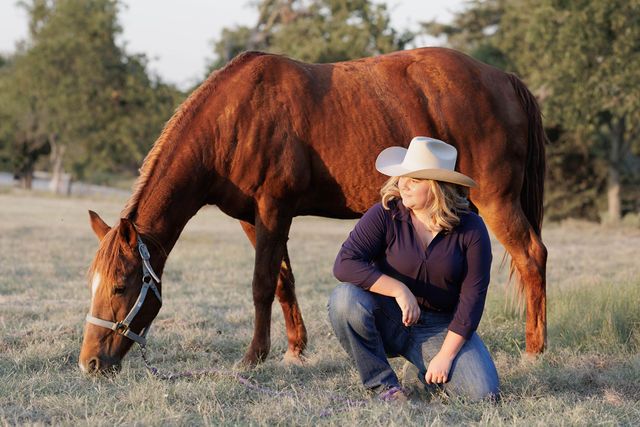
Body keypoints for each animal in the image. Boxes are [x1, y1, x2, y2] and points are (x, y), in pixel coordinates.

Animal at [79, 47, 547, 374]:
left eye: (120, 286)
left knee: (532, 257)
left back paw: (535, 351)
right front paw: (294, 351)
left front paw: (254, 357)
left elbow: (261, 284)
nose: (89, 363)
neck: (235, 119)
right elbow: (282, 282)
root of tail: (504, 79)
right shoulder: (253, 218)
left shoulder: (273, 208)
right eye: (93, 283)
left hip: (495, 200)